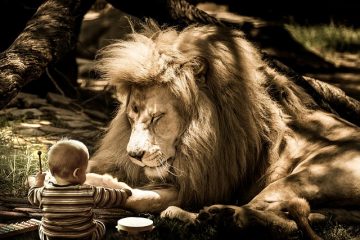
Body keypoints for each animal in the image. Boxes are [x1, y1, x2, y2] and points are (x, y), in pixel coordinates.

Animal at [86, 21, 360, 240]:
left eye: (157, 117)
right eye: (131, 117)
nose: (134, 155)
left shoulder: (204, 185)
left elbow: (138, 196)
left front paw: (104, 184)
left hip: (301, 177)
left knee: (272, 215)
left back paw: (211, 215)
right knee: (294, 219)